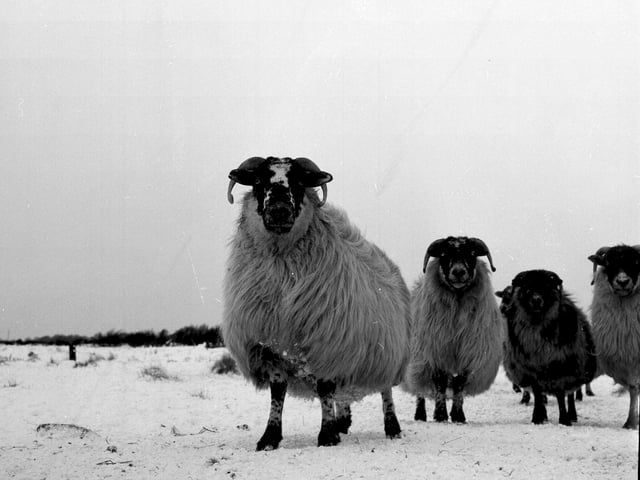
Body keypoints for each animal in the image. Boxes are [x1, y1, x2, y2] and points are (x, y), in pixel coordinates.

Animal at [223, 156, 411, 450]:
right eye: (258, 180)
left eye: (300, 181)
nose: (279, 211)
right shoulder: (270, 345)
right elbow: (278, 392)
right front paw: (270, 437)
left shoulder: (328, 341)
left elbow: (325, 388)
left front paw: (327, 436)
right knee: (343, 393)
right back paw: (343, 422)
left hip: (387, 351)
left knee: (385, 390)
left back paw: (391, 427)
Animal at [405, 236, 503, 424]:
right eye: (444, 254)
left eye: (472, 253)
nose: (458, 271)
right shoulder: (437, 353)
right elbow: (440, 385)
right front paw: (440, 415)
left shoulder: (468, 354)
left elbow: (459, 385)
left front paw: (458, 415)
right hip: (419, 360)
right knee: (420, 390)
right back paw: (420, 415)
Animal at [502, 269, 597, 426]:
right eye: (527, 288)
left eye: (546, 287)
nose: (536, 300)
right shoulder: (531, 370)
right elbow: (538, 394)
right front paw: (538, 417)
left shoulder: (560, 368)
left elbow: (561, 396)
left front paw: (564, 419)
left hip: (574, 368)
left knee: (570, 395)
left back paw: (572, 415)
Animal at [588, 244, 640, 429]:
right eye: (609, 262)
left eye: (636, 261)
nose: (622, 281)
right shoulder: (628, 356)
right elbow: (633, 388)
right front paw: (631, 422)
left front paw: (632, 422)